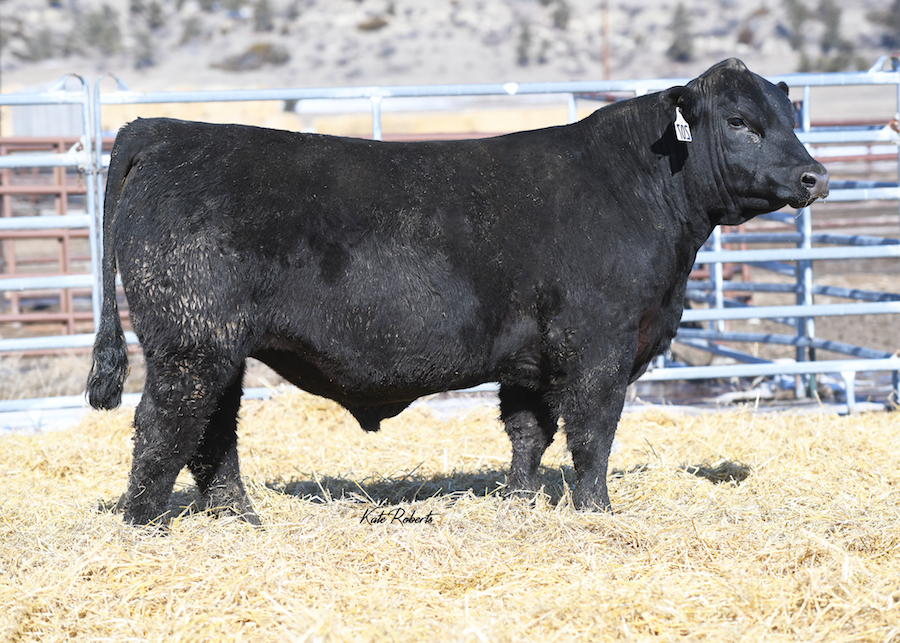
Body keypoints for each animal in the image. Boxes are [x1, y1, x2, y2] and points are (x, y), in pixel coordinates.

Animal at [87, 58, 828, 526]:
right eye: (738, 120)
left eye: (790, 114)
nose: (815, 176)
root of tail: (164, 129)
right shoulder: (599, 347)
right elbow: (592, 434)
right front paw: (598, 512)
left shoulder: (532, 358)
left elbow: (530, 434)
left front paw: (519, 503)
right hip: (190, 342)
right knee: (165, 425)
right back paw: (145, 526)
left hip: (220, 348)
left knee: (213, 433)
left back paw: (242, 519)